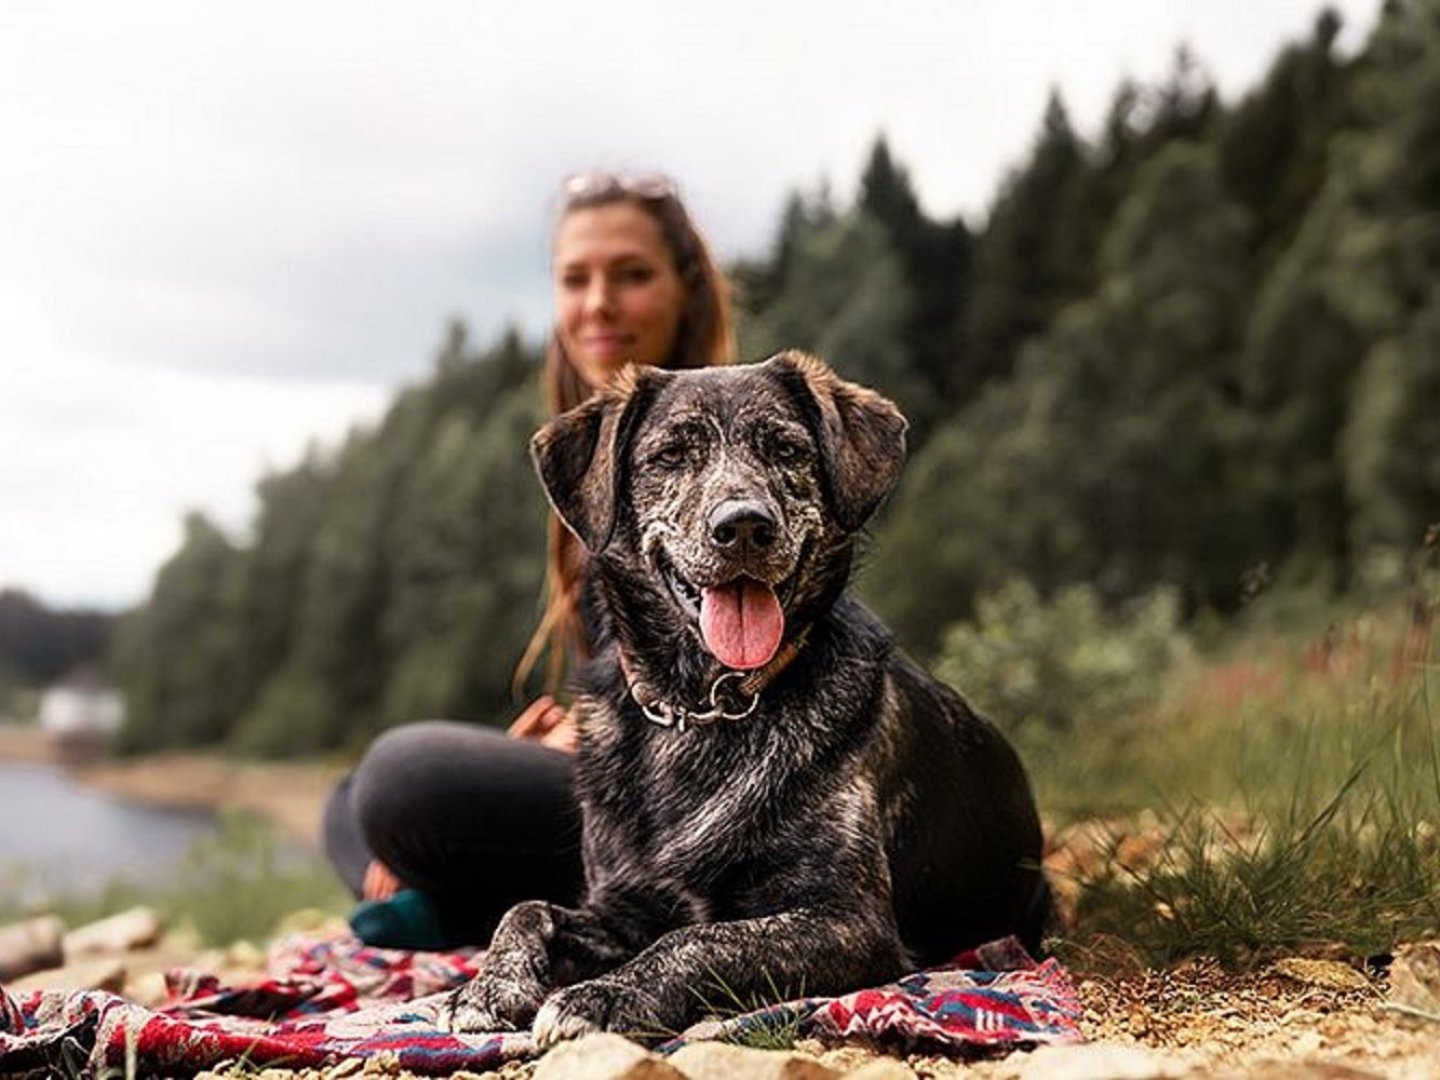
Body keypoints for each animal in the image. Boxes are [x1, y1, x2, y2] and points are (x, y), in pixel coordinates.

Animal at [437, 351, 1048, 1042]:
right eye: (671, 455)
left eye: (786, 448)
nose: (745, 526)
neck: (701, 706)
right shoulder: (623, 907)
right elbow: (526, 908)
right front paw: (488, 985)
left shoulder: (851, 922)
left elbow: (702, 939)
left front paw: (605, 995)